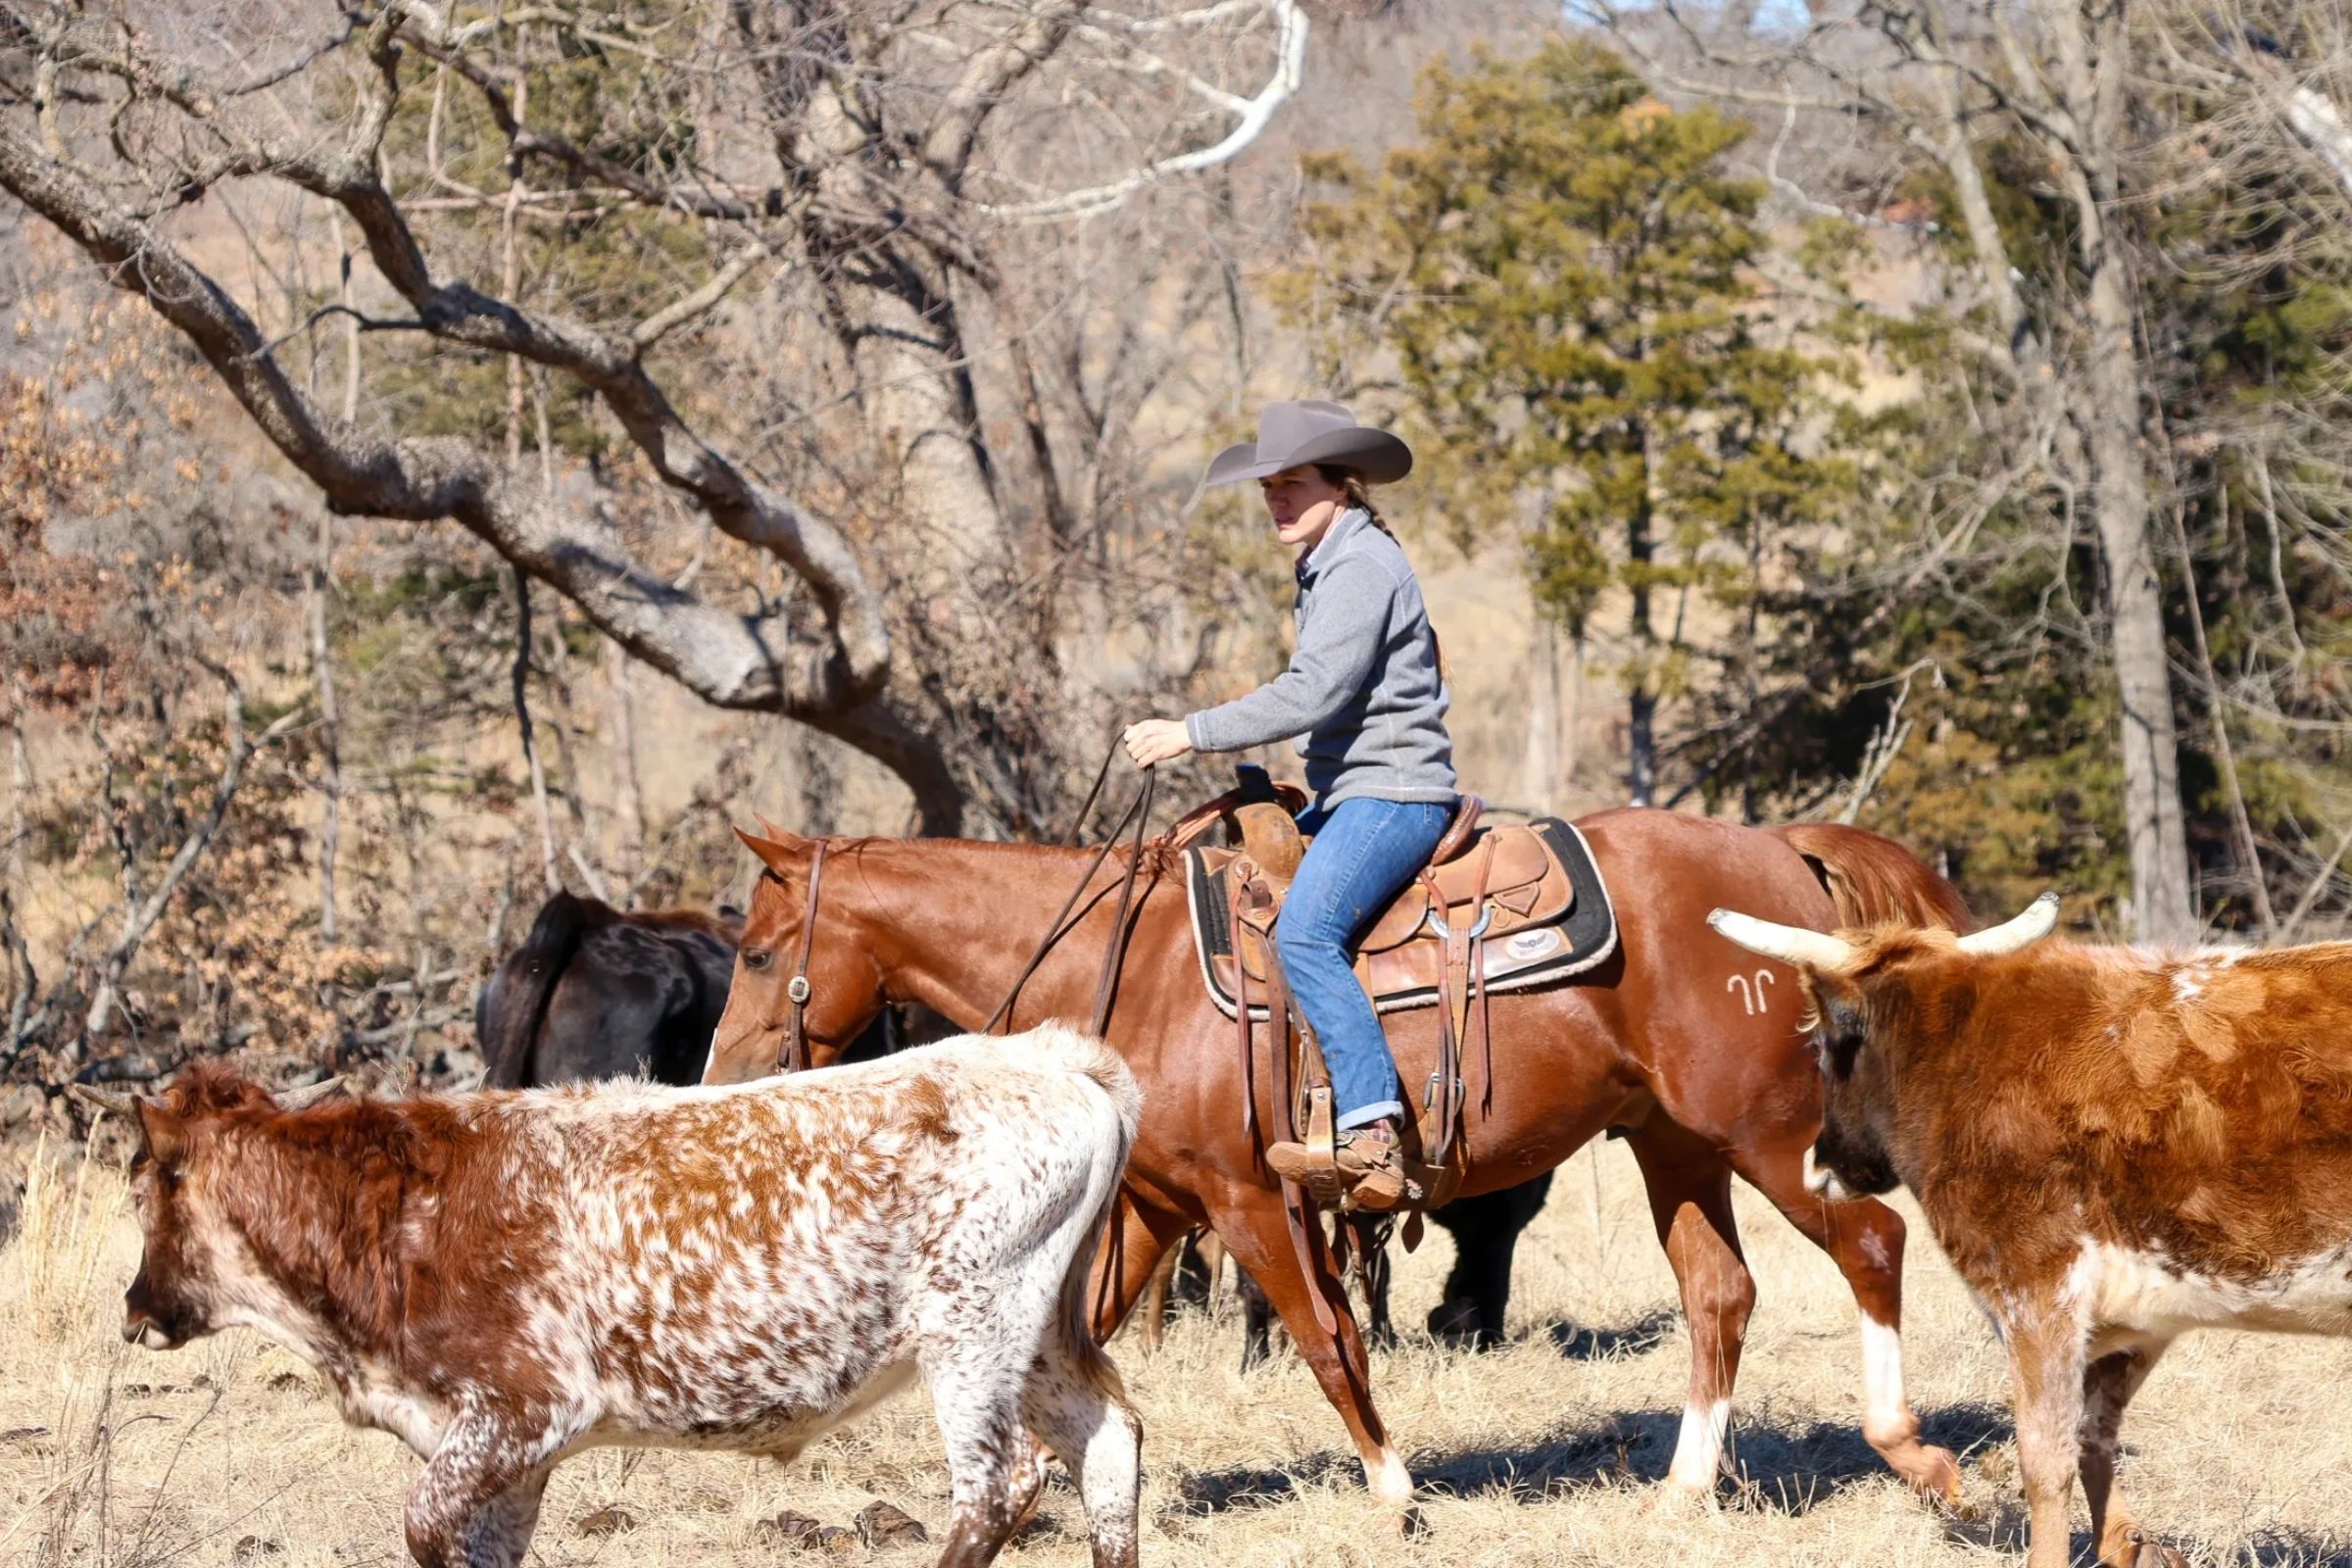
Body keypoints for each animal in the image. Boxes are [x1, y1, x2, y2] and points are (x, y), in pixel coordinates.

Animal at [74, 1029, 1138, 1568]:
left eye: (144, 1183)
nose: (134, 1310)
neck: (394, 1207)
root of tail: (1046, 1053)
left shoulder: (524, 1409)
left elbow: (423, 1526)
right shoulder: (511, 1461)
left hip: (972, 1333)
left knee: (996, 1486)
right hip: (1039, 1341)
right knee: (1109, 1445)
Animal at [706, 808, 1976, 1523]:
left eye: (760, 952)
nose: (719, 1078)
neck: (1135, 966)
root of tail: (1782, 850)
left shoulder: (1248, 1199)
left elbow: (1326, 1340)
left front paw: (1394, 1489)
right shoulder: (1158, 1205)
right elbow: (1071, 1343)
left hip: (1767, 1127)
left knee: (1873, 1242)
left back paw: (1911, 1451)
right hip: (1675, 1141)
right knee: (1719, 1293)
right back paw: (1682, 1490)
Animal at [1712, 893, 2352, 1568]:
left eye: (1826, 1045)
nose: (1819, 1164)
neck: (1959, 1053)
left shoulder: (2035, 1286)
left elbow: (2045, 1459)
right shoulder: (2132, 1318)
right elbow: (2093, 1441)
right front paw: (2131, 1544)